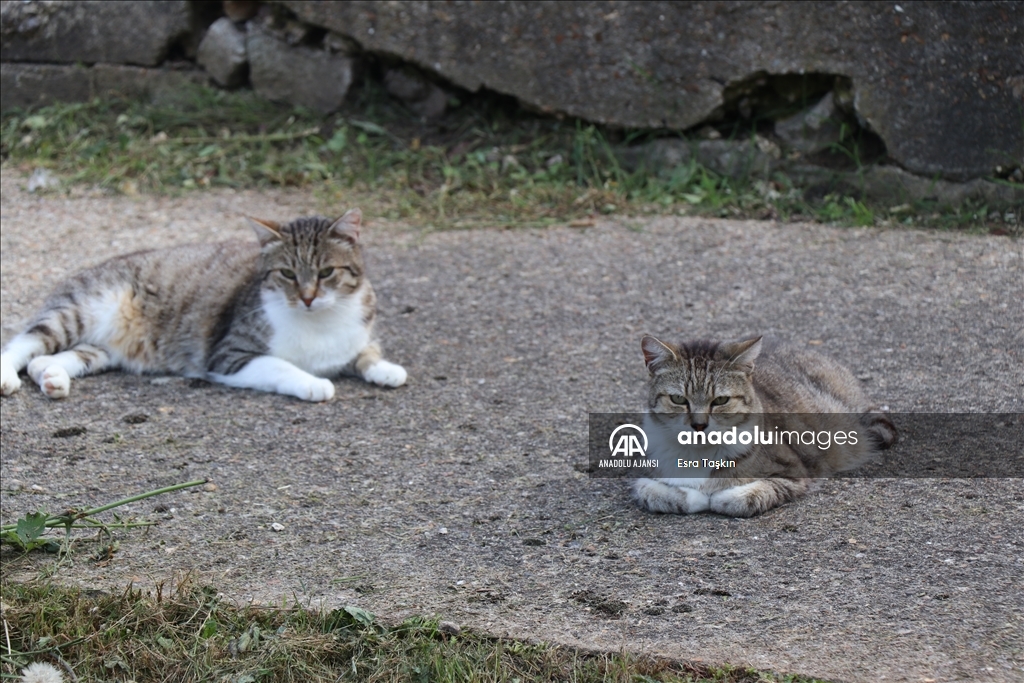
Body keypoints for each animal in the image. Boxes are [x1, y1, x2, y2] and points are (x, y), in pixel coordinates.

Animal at [0, 208, 407, 401]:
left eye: (326, 272)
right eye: (288, 274)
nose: (307, 297)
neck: (320, 320)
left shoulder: (355, 335)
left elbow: (366, 352)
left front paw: (386, 369)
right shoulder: (228, 355)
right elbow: (281, 366)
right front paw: (314, 383)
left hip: (102, 349)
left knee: (50, 358)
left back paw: (52, 376)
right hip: (80, 310)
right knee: (25, 343)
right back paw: (9, 376)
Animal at [634, 335, 892, 518]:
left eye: (720, 400)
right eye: (678, 399)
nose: (698, 425)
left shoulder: (796, 472)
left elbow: (746, 497)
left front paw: (718, 496)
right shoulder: (643, 473)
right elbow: (653, 492)